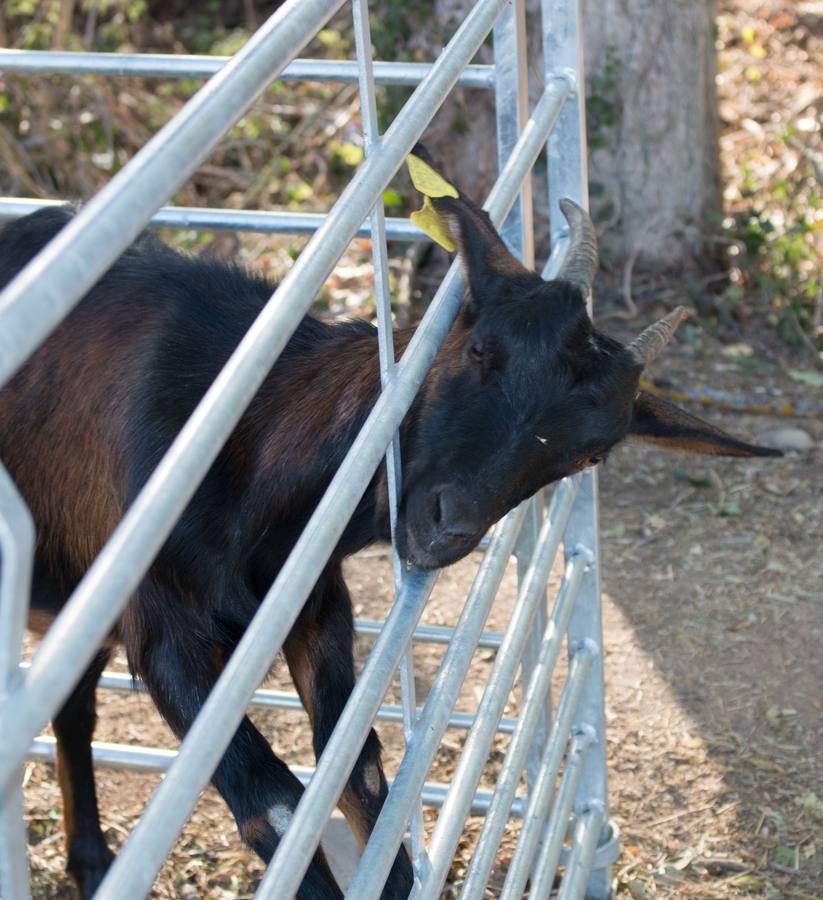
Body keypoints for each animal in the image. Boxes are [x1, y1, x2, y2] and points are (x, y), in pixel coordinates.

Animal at [0, 151, 780, 896]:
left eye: (590, 452)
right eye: (478, 346)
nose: (447, 525)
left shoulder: (315, 606)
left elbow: (359, 770)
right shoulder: (164, 631)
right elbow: (271, 804)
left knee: (72, 706)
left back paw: (90, 861)